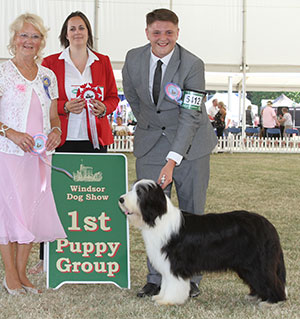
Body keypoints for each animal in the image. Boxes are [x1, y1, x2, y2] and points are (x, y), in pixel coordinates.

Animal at [118, 180, 288, 308]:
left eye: (140, 192)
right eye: (133, 188)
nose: (121, 199)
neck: (158, 218)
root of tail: (269, 226)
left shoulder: (175, 264)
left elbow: (174, 284)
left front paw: (168, 301)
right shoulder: (166, 263)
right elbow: (166, 282)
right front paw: (160, 297)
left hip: (258, 263)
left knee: (271, 280)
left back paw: (272, 301)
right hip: (247, 266)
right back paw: (256, 296)